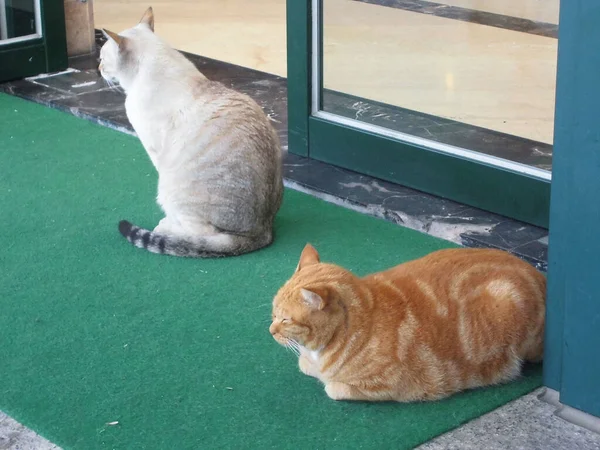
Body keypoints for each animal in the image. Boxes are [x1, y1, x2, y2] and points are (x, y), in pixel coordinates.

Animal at [270, 244, 548, 402]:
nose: (271, 331)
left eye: (285, 319)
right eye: (273, 312)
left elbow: (332, 388)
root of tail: (539, 275)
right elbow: (306, 365)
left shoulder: (388, 386)